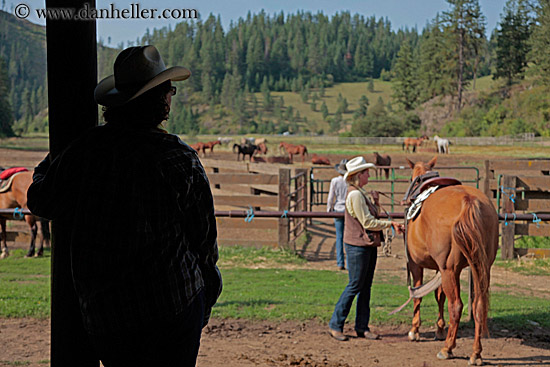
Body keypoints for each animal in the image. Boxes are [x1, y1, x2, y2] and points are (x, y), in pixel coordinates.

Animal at [406, 157, 500, 366]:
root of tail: (468, 202)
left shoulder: (418, 265)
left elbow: (418, 295)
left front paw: (415, 330)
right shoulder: (441, 269)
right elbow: (439, 296)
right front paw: (440, 329)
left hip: (450, 269)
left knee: (456, 305)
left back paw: (447, 349)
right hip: (481, 267)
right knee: (478, 306)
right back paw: (476, 353)